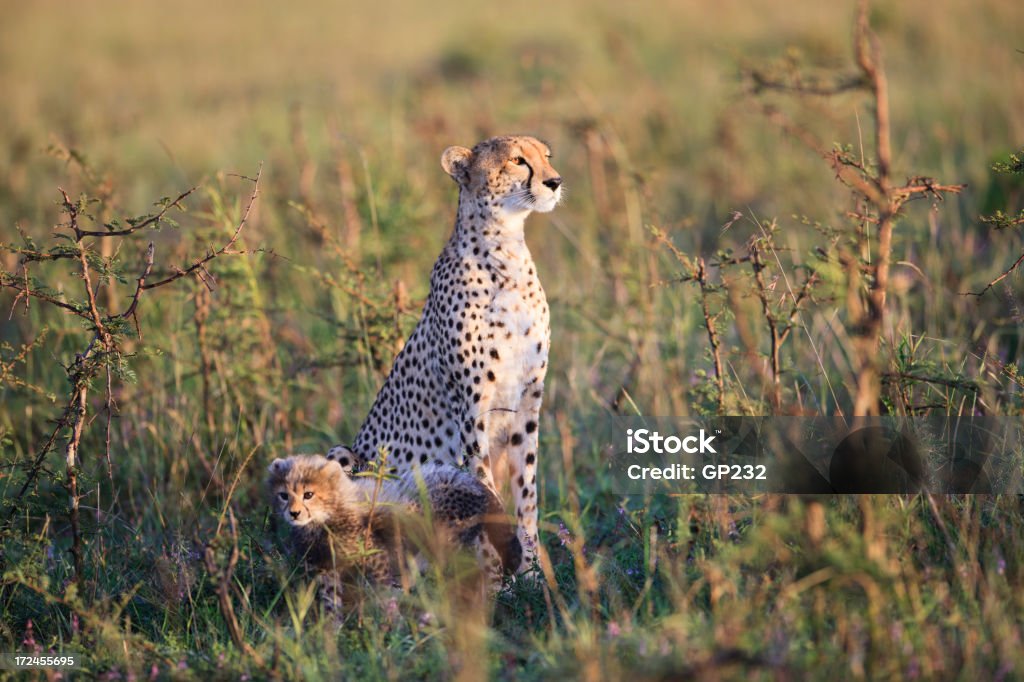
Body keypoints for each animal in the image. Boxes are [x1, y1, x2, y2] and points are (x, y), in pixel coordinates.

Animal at [329, 135, 561, 569]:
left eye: (546, 157)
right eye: (518, 160)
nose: (555, 181)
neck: (506, 252)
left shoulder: (526, 402)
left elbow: (526, 495)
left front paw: (532, 572)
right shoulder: (472, 410)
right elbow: (488, 493)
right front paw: (504, 577)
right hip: (345, 458)